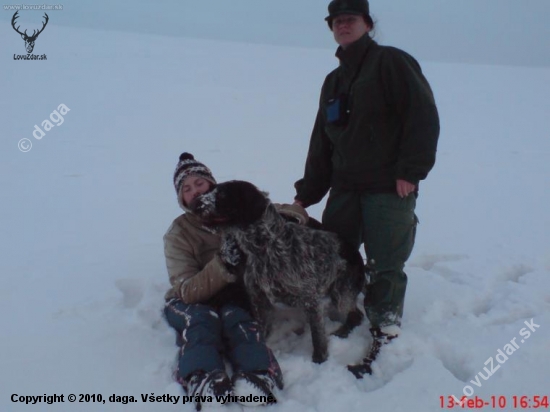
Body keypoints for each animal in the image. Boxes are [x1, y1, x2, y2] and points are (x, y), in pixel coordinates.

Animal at [190, 180, 366, 364]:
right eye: (211, 190)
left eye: (224, 194)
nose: (195, 203)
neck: (265, 248)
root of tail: (356, 253)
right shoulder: (258, 299)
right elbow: (260, 328)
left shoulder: (310, 298)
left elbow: (317, 335)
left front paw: (319, 359)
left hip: (341, 293)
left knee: (356, 315)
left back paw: (342, 331)